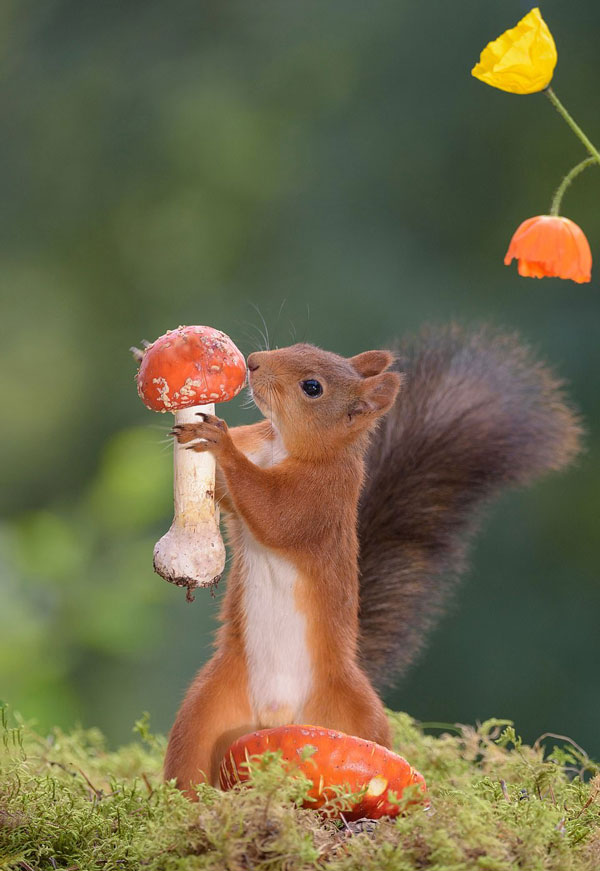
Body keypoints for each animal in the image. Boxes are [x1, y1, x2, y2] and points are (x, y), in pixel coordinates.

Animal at [161, 324, 580, 792]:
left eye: (312, 387)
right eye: (302, 346)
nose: (252, 362)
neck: (284, 447)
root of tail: (276, 714)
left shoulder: (323, 499)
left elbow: (274, 514)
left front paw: (221, 441)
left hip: (355, 714)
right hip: (209, 713)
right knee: (190, 759)